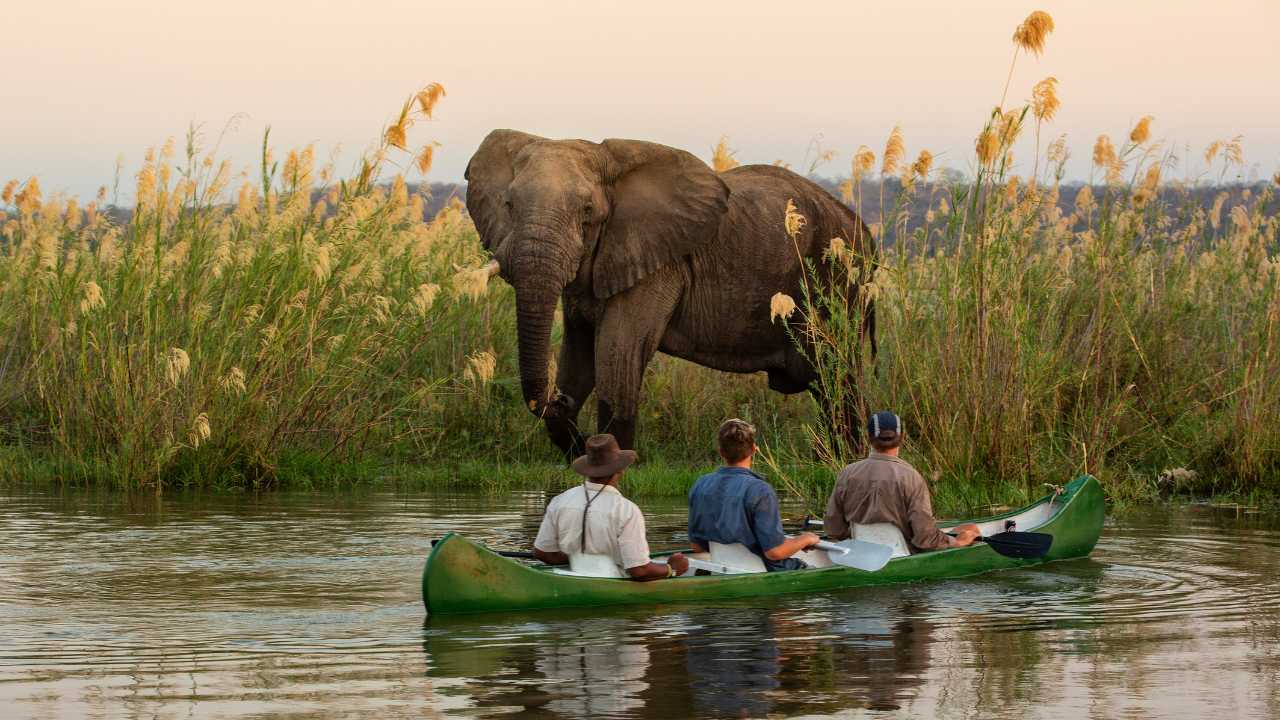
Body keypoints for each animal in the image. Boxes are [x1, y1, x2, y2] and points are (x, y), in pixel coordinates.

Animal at [464, 129, 877, 457]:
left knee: (838, 380)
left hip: (840, 283)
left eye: (587, 211)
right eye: (508, 205)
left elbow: (618, 357)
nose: (557, 399)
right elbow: (579, 354)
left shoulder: (657, 265)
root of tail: (865, 231)